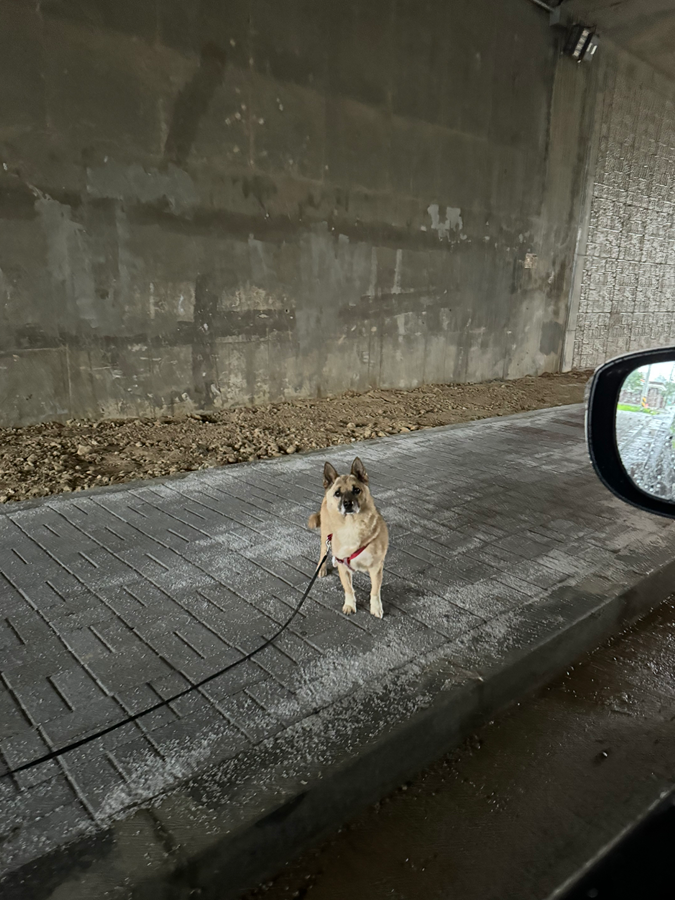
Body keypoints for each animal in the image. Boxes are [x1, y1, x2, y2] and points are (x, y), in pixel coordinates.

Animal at [308, 460, 388, 616]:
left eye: (356, 490)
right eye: (338, 493)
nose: (347, 504)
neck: (352, 526)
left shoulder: (376, 568)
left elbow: (375, 591)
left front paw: (376, 608)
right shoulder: (343, 569)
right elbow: (348, 589)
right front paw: (350, 605)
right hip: (325, 535)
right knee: (323, 552)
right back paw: (321, 568)